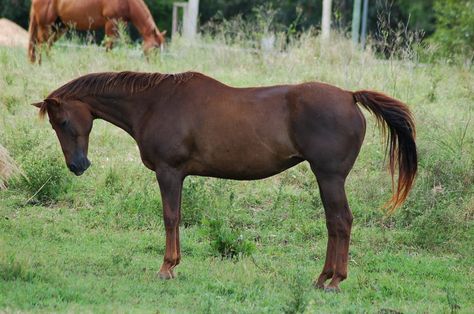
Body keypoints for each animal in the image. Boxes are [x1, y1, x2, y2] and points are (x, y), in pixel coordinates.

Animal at [28, 0, 167, 63]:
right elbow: (109, 47)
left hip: (60, 27)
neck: (128, 3)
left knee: (47, 45)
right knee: (40, 44)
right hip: (46, 26)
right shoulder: (111, 23)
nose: (156, 64)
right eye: (155, 47)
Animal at [33, 72, 416, 292]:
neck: (155, 102)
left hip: (329, 178)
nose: (77, 165)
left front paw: (167, 268)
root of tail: (349, 96)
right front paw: (173, 265)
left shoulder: (168, 172)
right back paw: (323, 278)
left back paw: (334, 280)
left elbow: (170, 217)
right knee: (335, 224)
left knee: (340, 222)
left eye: (62, 122)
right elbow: (177, 218)